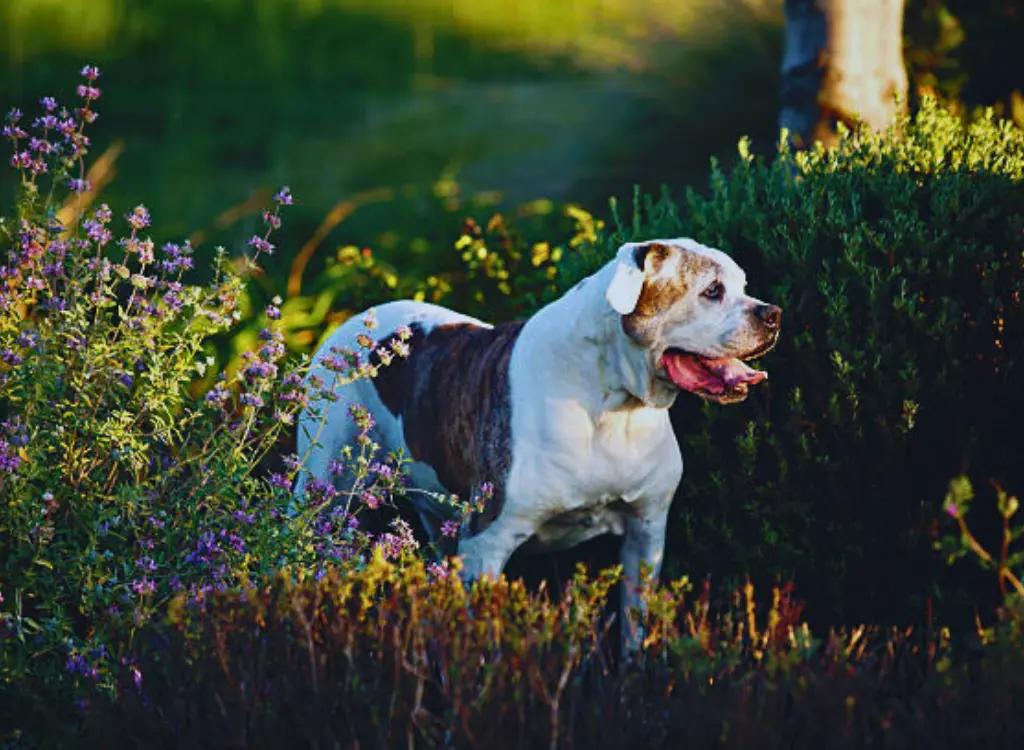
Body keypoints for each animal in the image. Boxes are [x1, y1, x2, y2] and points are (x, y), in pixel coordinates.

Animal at [292, 237, 778, 647]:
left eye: (743, 285)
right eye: (712, 290)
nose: (772, 313)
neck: (612, 400)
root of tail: (352, 322)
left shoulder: (646, 533)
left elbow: (634, 626)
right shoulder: (487, 541)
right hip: (322, 488)